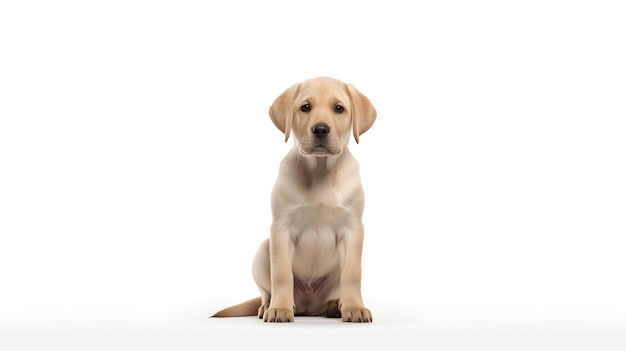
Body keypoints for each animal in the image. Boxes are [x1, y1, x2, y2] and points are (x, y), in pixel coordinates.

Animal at [212, 77, 372, 324]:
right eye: (305, 107)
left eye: (339, 108)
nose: (320, 129)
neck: (320, 170)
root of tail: (309, 306)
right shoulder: (281, 229)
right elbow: (281, 274)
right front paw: (280, 308)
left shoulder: (353, 229)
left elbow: (352, 274)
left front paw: (354, 307)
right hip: (263, 250)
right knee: (265, 292)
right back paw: (267, 306)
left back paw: (334, 306)